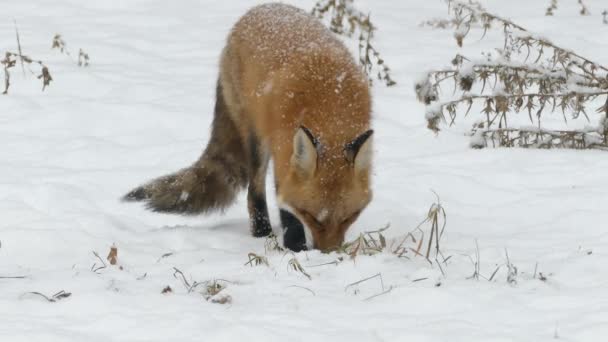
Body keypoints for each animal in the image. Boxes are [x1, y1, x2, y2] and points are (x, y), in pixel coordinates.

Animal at [122, 2, 370, 252]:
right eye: (311, 217)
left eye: (349, 217)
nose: (328, 252)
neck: (329, 107)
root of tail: (257, 9)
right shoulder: (281, 153)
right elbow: (286, 208)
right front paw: (295, 247)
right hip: (256, 140)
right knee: (254, 193)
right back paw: (262, 233)